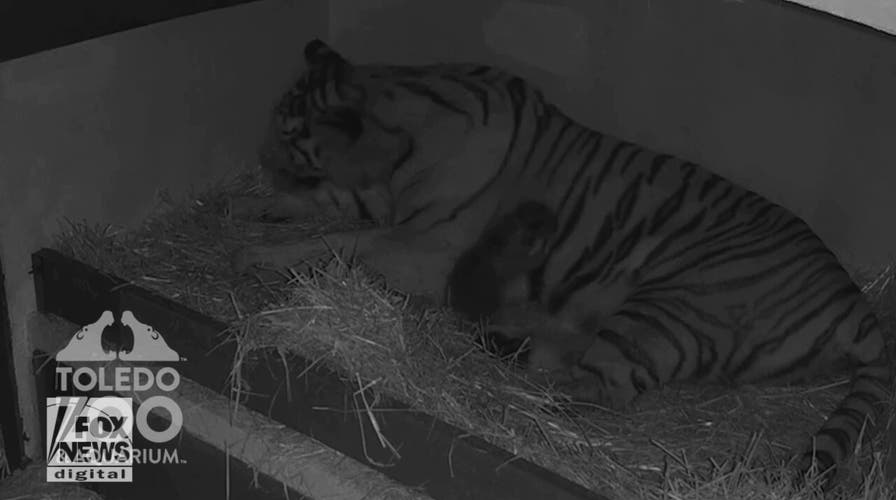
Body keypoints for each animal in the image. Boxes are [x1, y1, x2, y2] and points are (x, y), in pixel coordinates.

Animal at [232, 38, 893, 482]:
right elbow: (332, 205)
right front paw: (258, 206)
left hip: (667, 310)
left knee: (596, 390)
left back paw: (516, 387)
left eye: (287, 132)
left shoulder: (427, 248)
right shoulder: (382, 204)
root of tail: (855, 302)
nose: (260, 160)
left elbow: (341, 243)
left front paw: (264, 252)